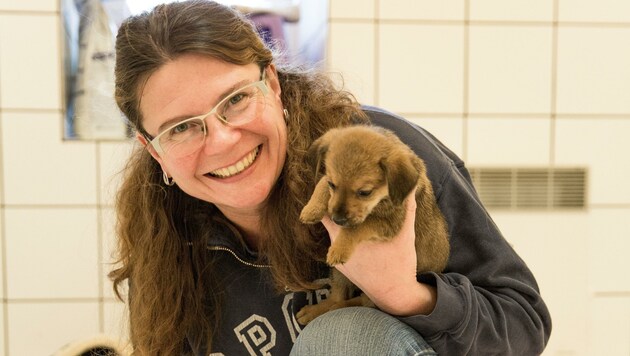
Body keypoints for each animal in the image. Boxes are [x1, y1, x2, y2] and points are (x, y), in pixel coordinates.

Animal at [296, 125, 450, 326]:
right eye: (332, 184)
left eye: (365, 192)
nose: (337, 219)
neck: (383, 197)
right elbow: (320, 182)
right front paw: (311, 209)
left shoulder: (389, 222)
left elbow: (358, 227)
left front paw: (339, 249)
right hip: (339, 274)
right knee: (337, 296)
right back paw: (316, 310)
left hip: (374, 294)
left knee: (358, 301)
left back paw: (336, 307)